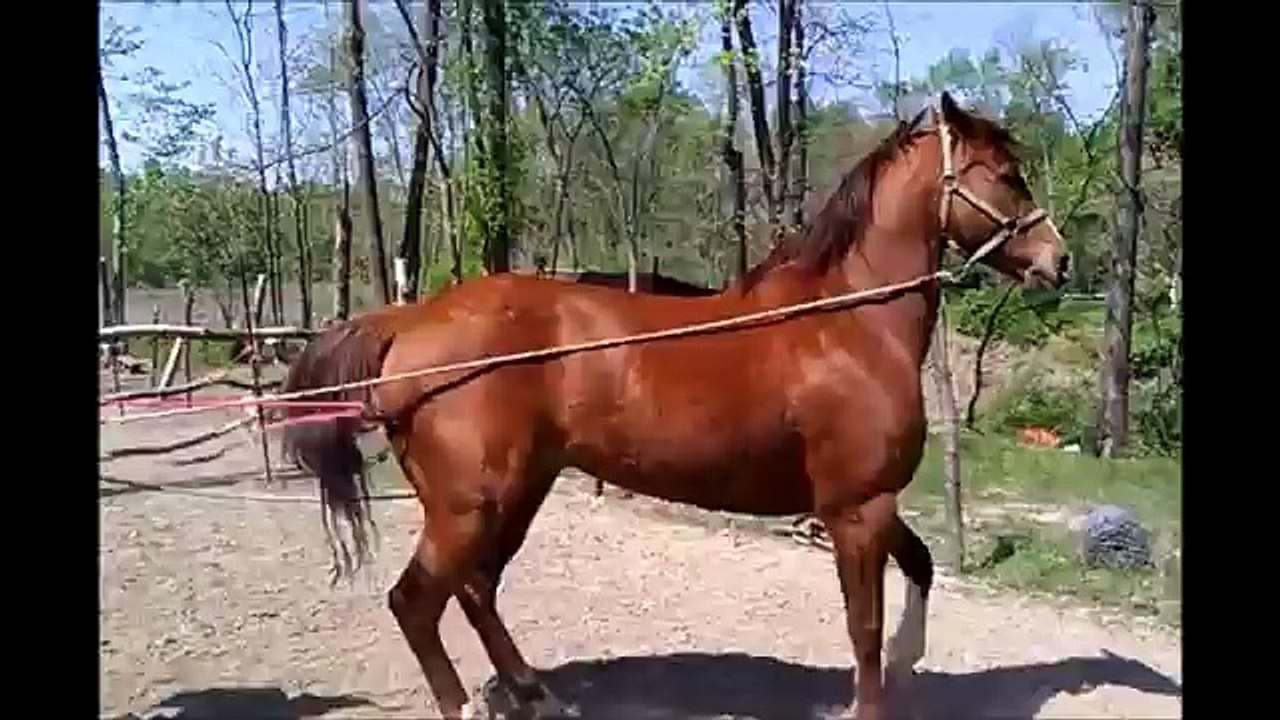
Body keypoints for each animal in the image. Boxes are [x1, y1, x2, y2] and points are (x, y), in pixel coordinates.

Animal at [278, 91, 1068, 720]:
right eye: (1006, 175)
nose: (1056, 261)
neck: (847, 322)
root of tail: (411, 320)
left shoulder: (864, 503)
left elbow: (923, 566)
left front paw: (909, 659)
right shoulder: (857, 507)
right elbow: (863, 629)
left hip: (516, 493)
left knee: (476, 590)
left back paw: (536, 694)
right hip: (471, 505)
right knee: (417, 601)